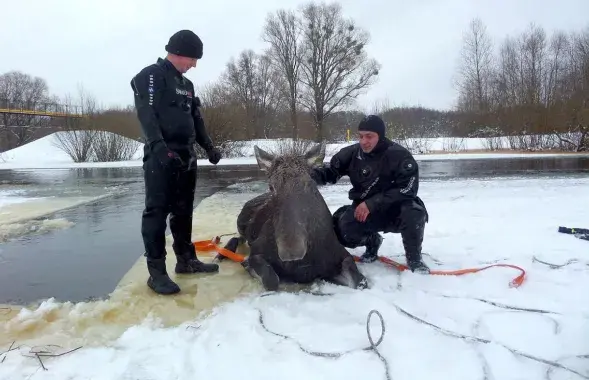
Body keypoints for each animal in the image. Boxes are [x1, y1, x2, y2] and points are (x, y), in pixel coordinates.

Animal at [220, 141, 368, 292]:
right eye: (271, 186)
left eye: (309, 183)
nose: (291, 251)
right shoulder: (256, 251)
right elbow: (271, 280)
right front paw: (248, 265)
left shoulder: (340, 255)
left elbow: (360, 281)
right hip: (241, 224)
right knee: (237, 238)